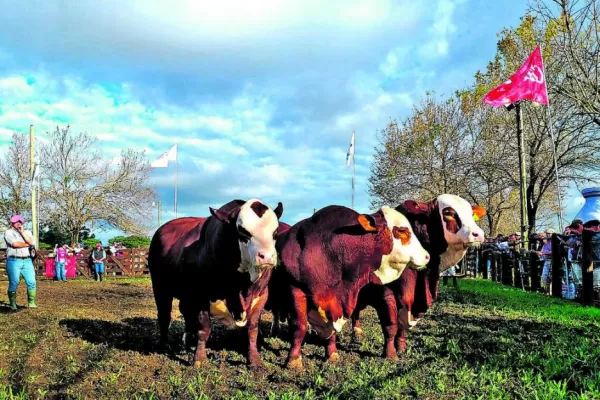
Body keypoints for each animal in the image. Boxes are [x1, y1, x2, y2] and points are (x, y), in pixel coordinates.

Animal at [148, 198, 284, 368]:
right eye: (242, 231)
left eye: (275, 232)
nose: (267, 257)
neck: (240, 285)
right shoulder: (200, 296)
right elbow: (204, 329)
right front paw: (199, 359)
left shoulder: (261, 295)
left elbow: (252, 330)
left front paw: (254, 361)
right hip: (160, 288)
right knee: (164, 315)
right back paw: (165, 344)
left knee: (185, 313)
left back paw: (187, 340)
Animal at [274, 205, 428, 370]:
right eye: (401, 231)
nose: (427, 256)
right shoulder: (296, 290)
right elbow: (300, 326)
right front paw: (293, 360)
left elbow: (388, 324)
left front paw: (332, 354)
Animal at [354, 194, 486, 356]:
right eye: (448, 213)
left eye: (471, 214)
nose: (478, 234)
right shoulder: (385, 293)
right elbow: (391, 324)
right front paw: (390, 354)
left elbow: (401, 326)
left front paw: (401, 347)